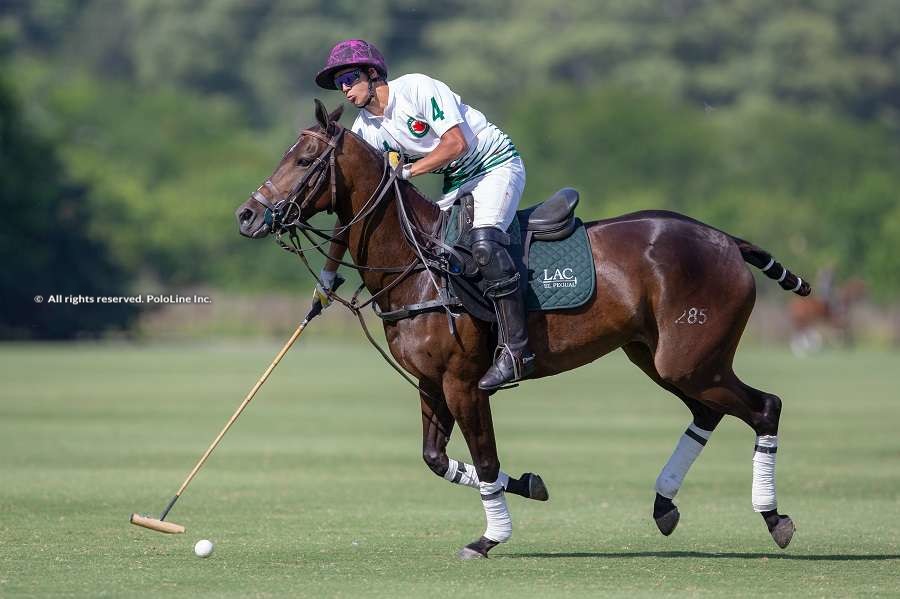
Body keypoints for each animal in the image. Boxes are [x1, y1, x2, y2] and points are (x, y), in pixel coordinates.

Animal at [236, 102, 812, 556]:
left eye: (304, 160)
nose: (246, 216)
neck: (418, 262)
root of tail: (728, 241)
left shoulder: (464, 382)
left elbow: (486, 458)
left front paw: (489, 538)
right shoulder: (429, 382)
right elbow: (436, 459)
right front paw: (532, 484)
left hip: (690, 358)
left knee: (765, 406)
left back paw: (774, 518)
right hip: (658, 357)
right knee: (709, 411)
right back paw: (664, 504)